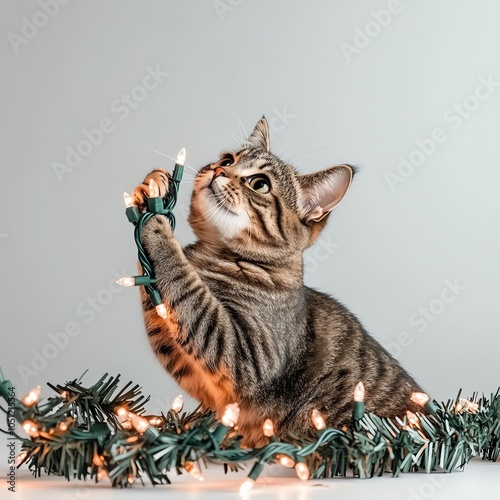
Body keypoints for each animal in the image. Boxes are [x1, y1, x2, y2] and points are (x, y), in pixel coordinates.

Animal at [131, 117, 424, 446]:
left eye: (259, 183)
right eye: (228, 160)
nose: (219, 170)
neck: (217, 255)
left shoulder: (244, 353)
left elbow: (183, 281)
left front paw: (157, 226)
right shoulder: (183, 358)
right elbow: (161, 299)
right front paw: (152, 187)